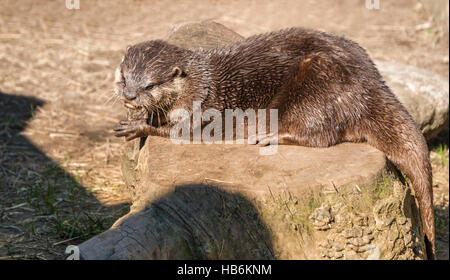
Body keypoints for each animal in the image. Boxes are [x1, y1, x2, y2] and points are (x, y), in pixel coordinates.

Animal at [112, 27, 436, 260]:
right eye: (124, 77)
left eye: (150, 84)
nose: (129, 96)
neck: (199, 84)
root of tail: (372, 85)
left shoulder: (202, 109)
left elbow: (179, 131)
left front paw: (136, 126)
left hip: (316, 87)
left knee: (320, 134)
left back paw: (267, 135)